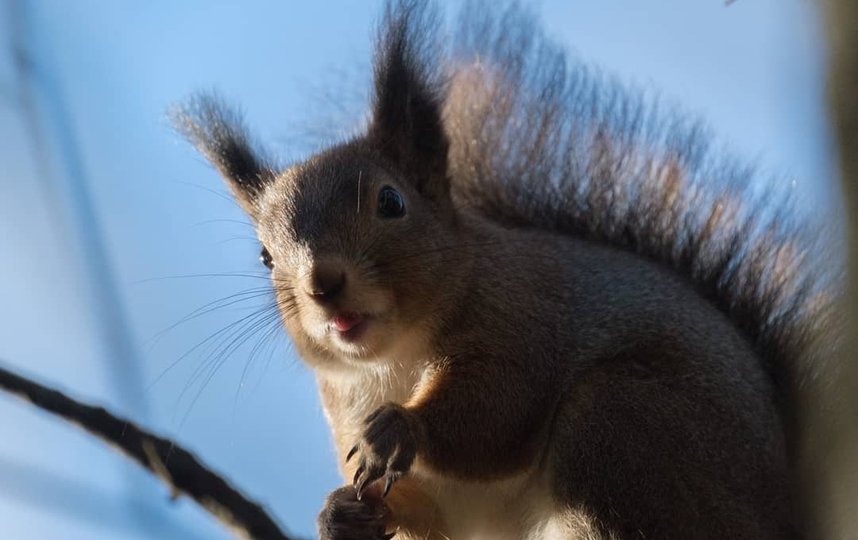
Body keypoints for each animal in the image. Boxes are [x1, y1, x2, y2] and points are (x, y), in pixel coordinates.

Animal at [172, 1, 836, 540]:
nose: (322, 283)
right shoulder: (349, 413)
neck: (394, 361)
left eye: (391, 202)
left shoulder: (522, 316)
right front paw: (340, 515)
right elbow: (429, 520)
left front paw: (402, 429)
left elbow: (498, 410)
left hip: (625, 425)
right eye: (265, 256)